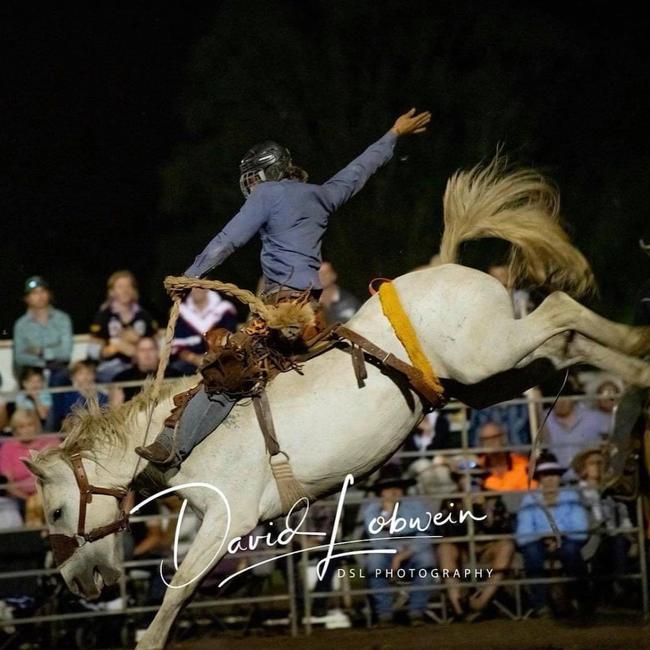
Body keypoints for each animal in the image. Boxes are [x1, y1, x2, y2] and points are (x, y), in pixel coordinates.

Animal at [24, 158, 648, 648]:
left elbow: (172, 600)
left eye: (54, 512)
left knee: (561, 309)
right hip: (492, 375)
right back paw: (631, 410)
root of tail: (442, 265)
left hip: (488, 354)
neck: (169, 432)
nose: (77, 585)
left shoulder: (228, 519)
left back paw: (638, 350)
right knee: (567, 346)